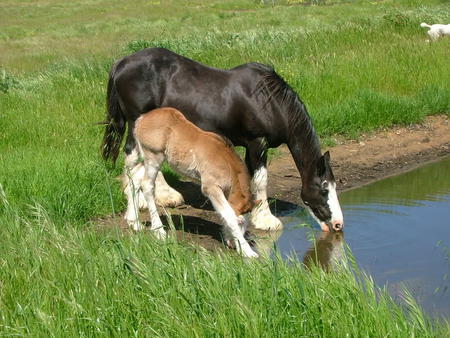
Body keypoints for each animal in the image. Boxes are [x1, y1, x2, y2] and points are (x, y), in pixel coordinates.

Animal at [102, 47, 342, 231]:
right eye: (323, 189)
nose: (338, 224)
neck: (269, 102)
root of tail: (121, 63)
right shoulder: (257, 144)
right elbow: (261, 180)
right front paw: (266, 220)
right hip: (136, 126)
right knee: (133, 163)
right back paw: (135, 215)